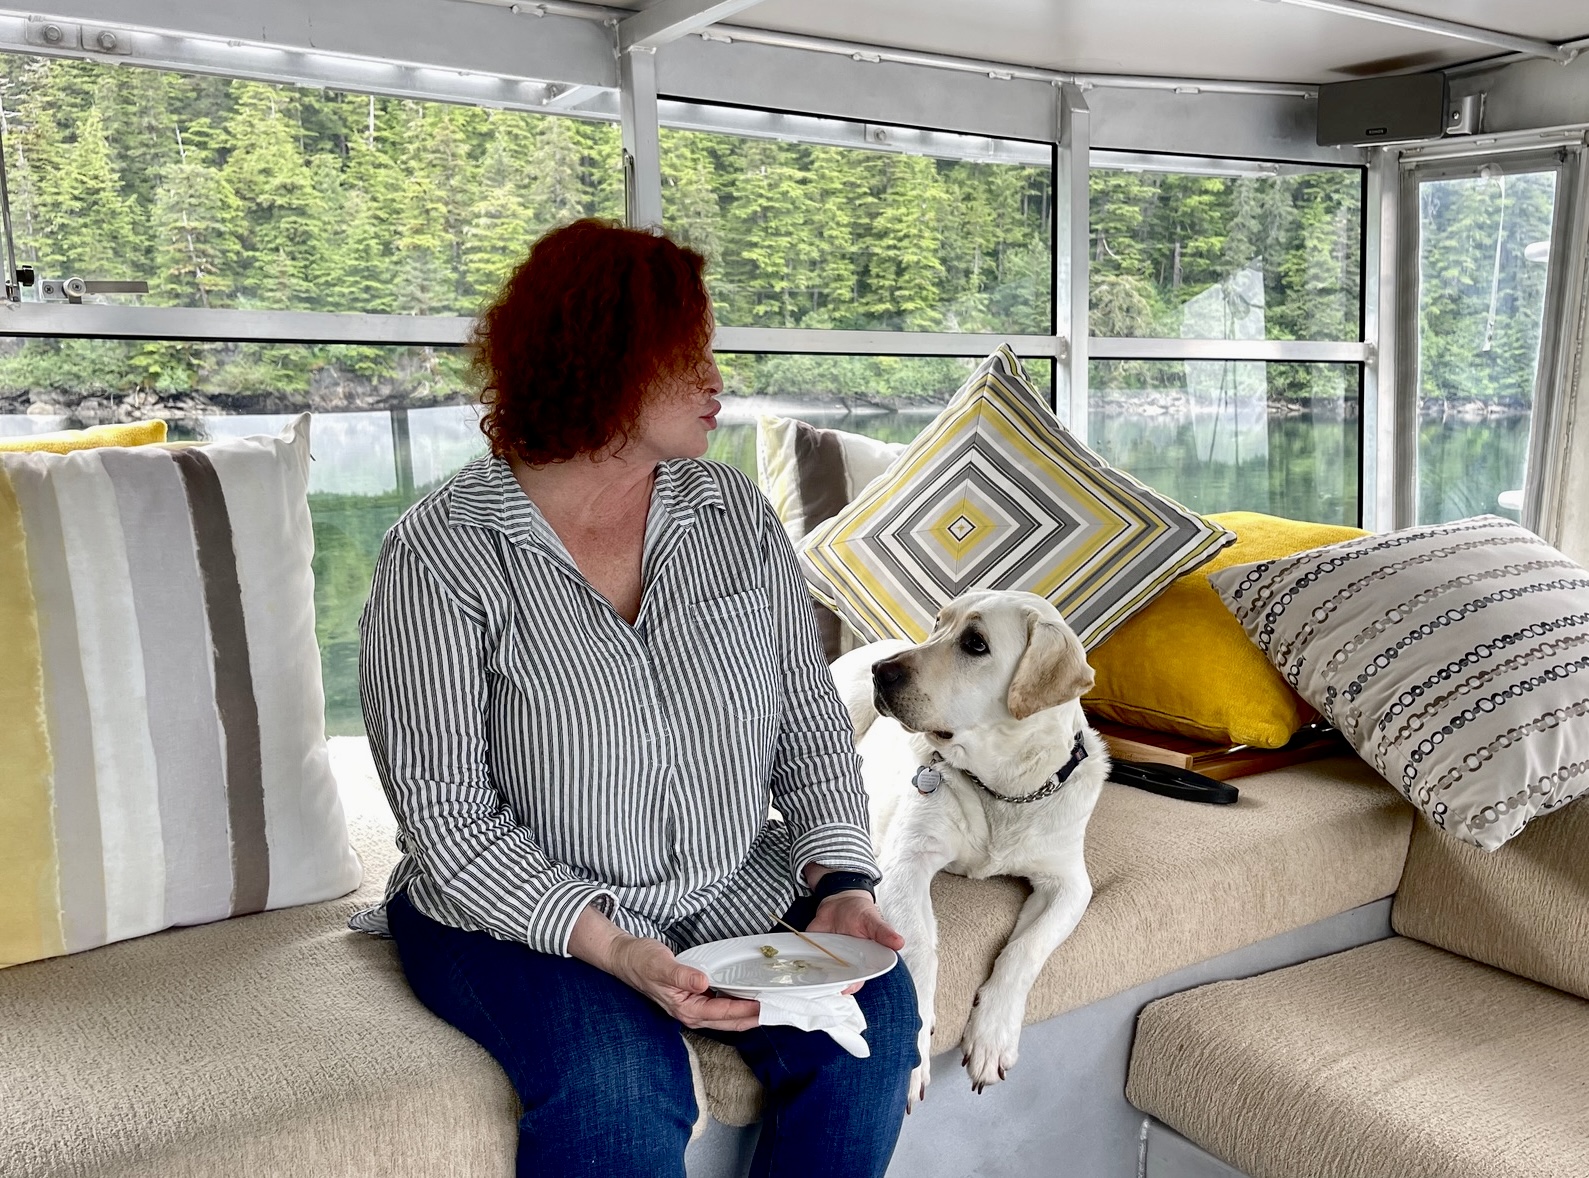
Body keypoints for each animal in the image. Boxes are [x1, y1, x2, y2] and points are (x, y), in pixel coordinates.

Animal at [831, 589, 1108, 1106]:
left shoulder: (1070, 884)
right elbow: (919, 946)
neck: (1003, 788)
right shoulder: (906, 862)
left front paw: (992, 1035)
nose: (882, 671)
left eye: (975, 644)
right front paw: (916, 1051)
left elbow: (1025, 949)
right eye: (938, 623)